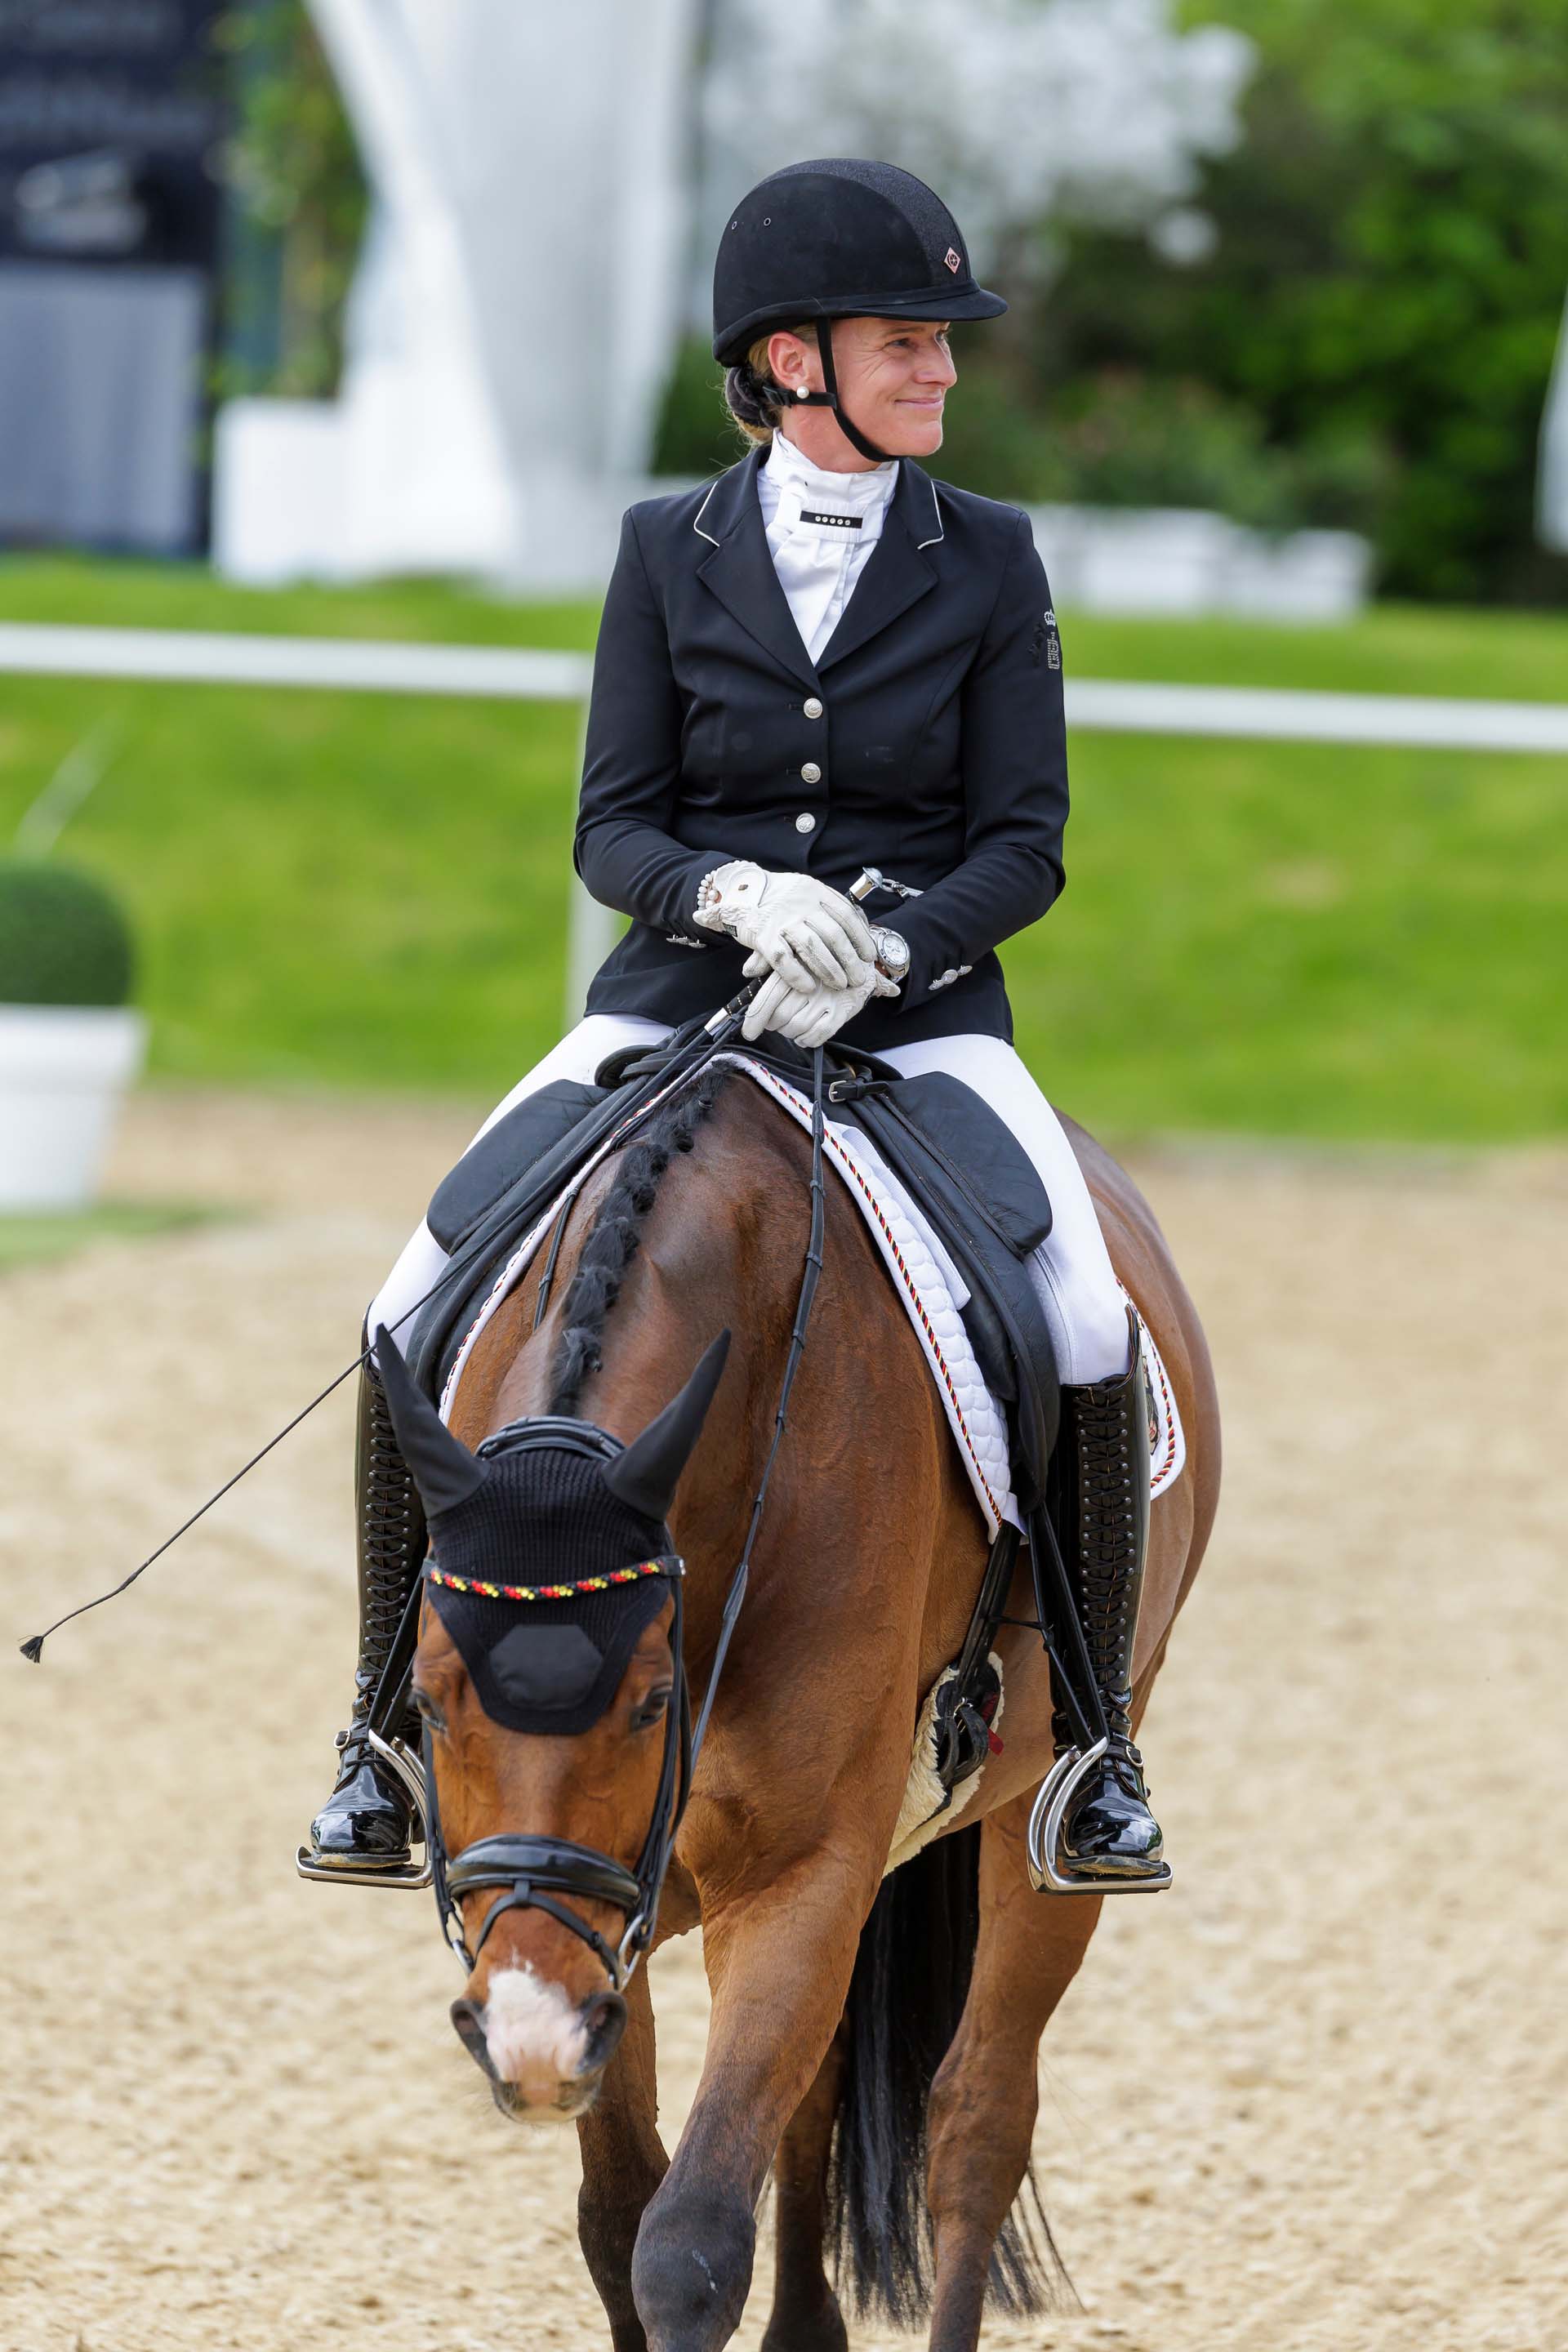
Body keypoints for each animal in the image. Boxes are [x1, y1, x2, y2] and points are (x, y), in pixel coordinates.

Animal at [404, 1058, 1213, 2352]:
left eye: (651, 1705)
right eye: (429, 1705)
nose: (526, 2034)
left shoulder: (794, 1873)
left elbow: (686, 2245)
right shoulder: (606, 1926)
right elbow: (618, 2218)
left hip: (1039, 1816)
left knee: (977, 2127)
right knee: (819, 2095)